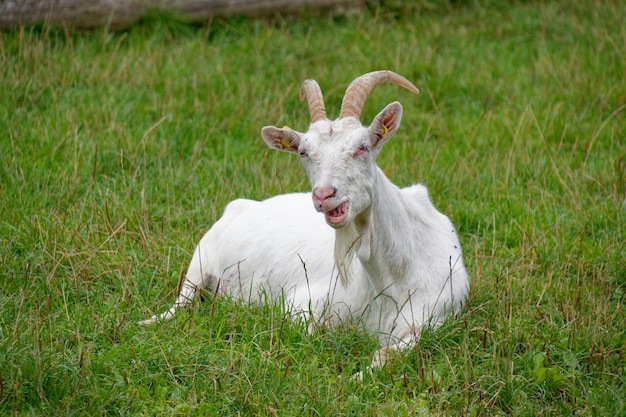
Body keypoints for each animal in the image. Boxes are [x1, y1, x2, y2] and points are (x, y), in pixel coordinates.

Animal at [140, 71, 464, 368]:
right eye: (304, 152)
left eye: (363, 147)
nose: (323, 195)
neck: (397, 277)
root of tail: (237, 207)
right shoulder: (302, 304)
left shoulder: (437, 319)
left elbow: (389, 353)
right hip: (200, 262)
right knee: (180, 303)